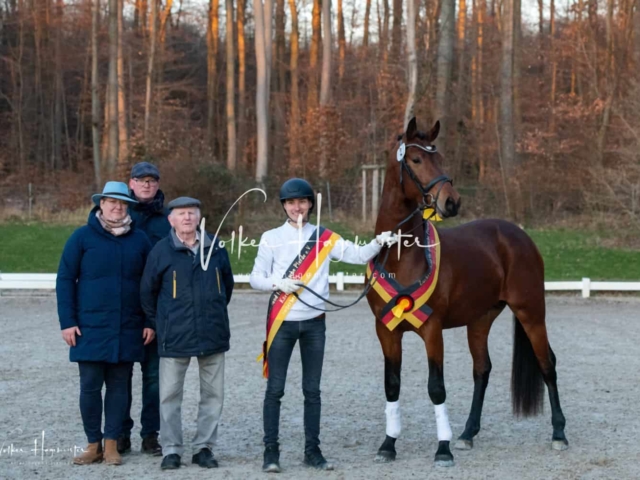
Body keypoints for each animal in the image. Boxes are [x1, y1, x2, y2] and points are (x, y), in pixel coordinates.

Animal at [368, 118, 568, 466]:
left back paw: (558, 433)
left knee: (547, 364)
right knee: (482, 370)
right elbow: (392, 386)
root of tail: (517, 235)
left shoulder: (432, 330)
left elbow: (436, 388)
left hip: (531, 312)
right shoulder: (387, 331)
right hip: (479, 320)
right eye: (416, 160)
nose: (452, 201)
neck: (401, 256)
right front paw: (388, 445)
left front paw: (442, 449)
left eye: (440, 157)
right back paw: (467, 433)